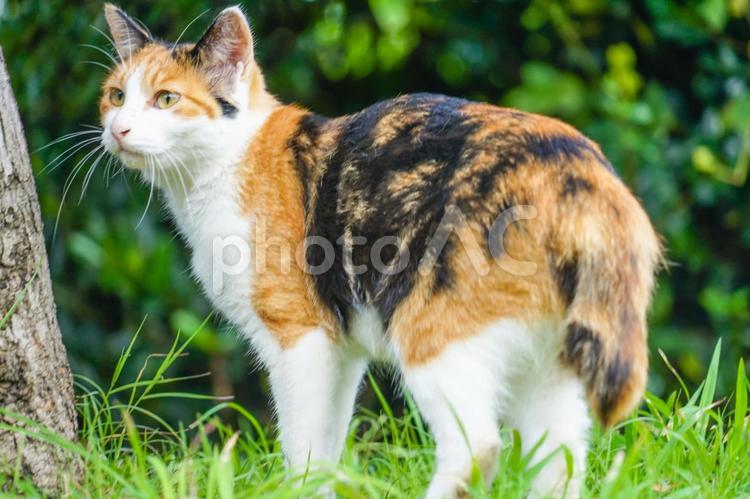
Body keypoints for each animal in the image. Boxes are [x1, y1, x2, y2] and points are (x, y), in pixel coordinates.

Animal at [101, 4, 664, 499]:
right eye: (115, 96)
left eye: (166, 99)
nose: (117, 128)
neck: (224, 166)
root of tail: (579, 169)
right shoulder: (341, 347)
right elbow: (327, 445)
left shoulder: (301, 337)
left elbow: (301, 445)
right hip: (546, 364)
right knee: (561, 457)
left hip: (432, 329)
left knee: (478, 446)